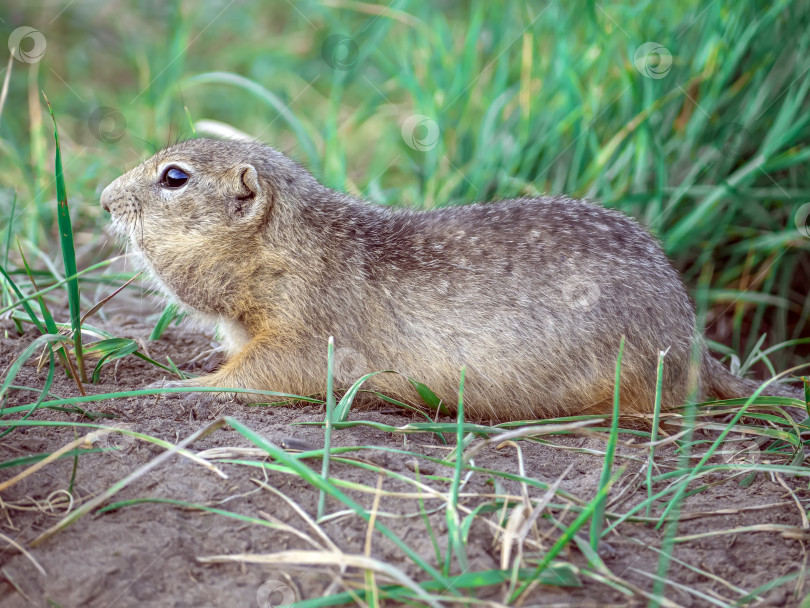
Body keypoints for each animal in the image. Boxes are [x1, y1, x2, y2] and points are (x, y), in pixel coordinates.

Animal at [101, 140, 800, 420]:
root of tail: (695, 343)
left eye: (174, 177)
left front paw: (173, 386)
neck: (287, 243)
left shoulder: (306, 322)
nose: (104, 198)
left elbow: (269, 374)